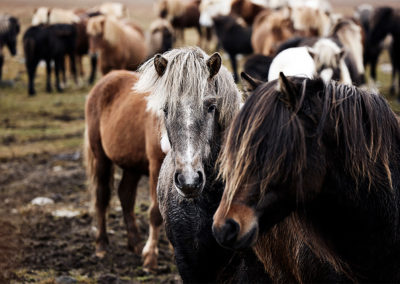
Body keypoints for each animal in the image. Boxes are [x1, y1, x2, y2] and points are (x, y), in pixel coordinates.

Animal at [84, 70, 166, 270]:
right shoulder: (156, 164)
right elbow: (156, 213)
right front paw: (150, 258)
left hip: (132, 165)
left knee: (125, 194)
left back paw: (134, 243)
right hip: (101, 158)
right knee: (102, 197)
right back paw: (102, 245)